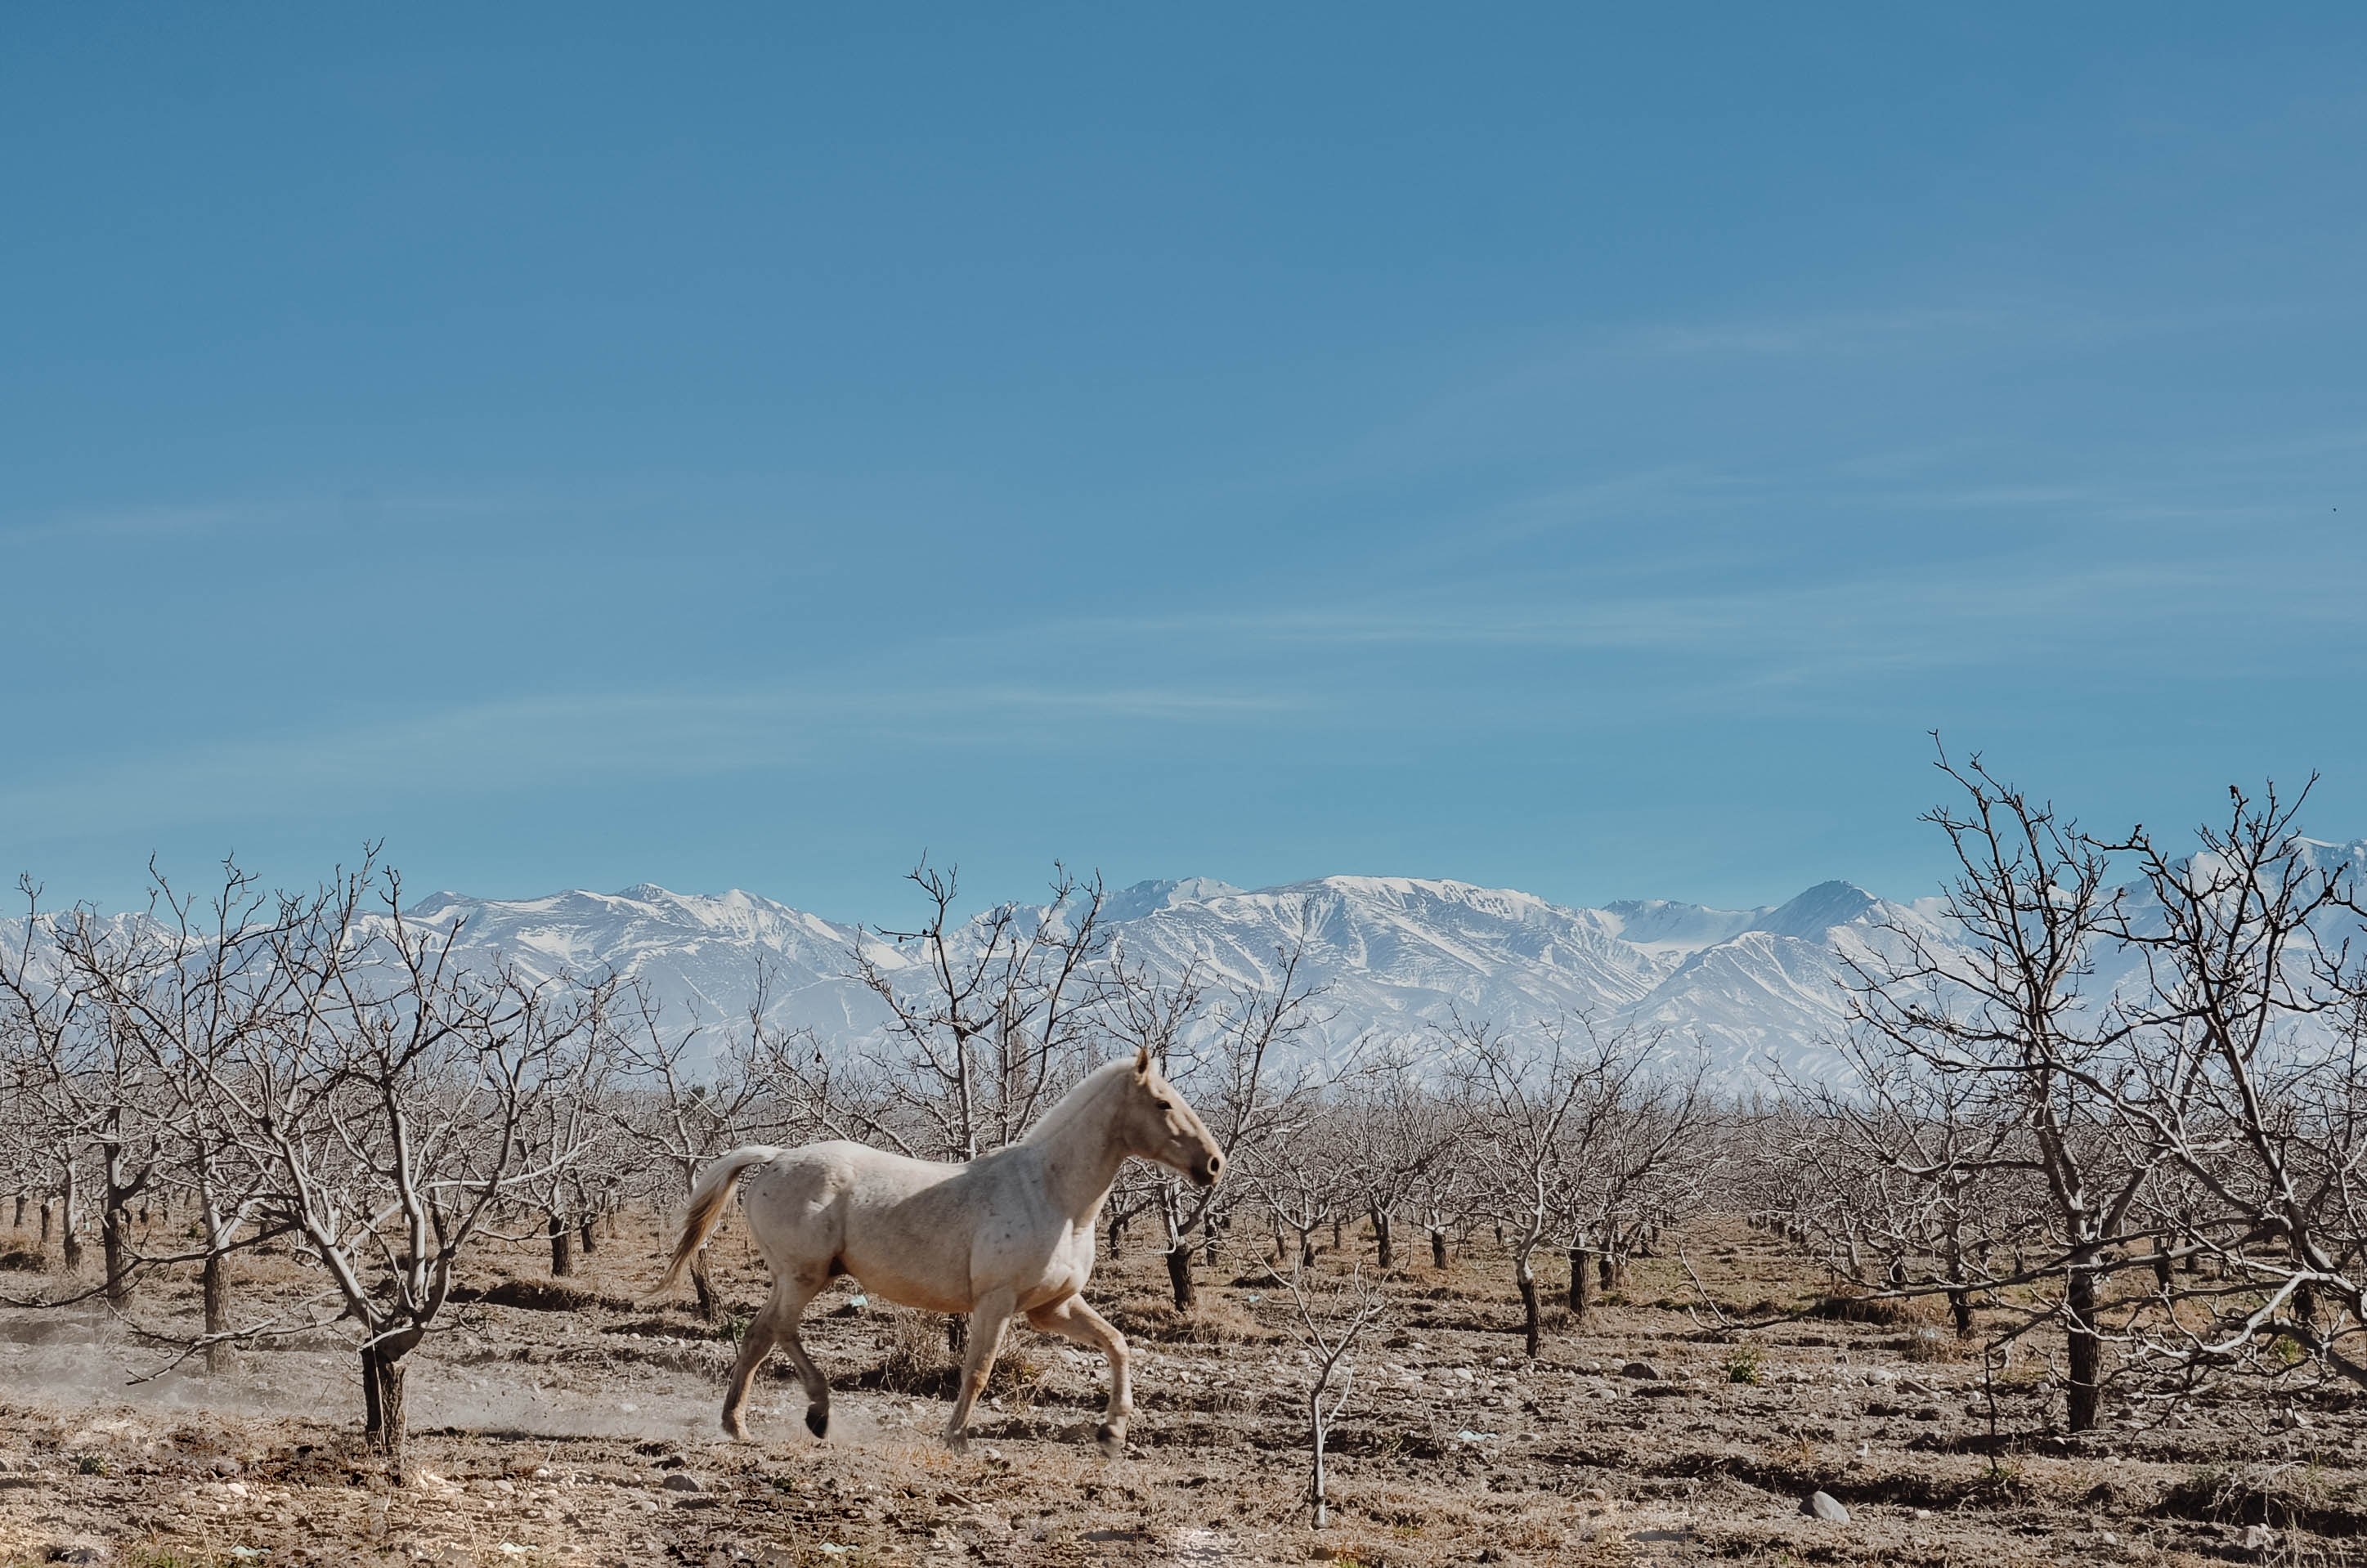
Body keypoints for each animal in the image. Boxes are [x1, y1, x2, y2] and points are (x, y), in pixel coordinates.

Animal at [662, 1047, 1223, 1454]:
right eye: (1163, 1103)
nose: (1214, 1164)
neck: (1052, 1194)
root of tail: (776, 1156)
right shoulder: (997, 1301)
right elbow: (978, 1369)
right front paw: (956, 1438)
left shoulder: (1052, 1307)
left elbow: (1117, 1344)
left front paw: (1112, 1434)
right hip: (805, 1275)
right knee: (778, 1330)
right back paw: (817, 1412)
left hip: (795, 1278)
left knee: (759, 1335)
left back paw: (739, 1426)